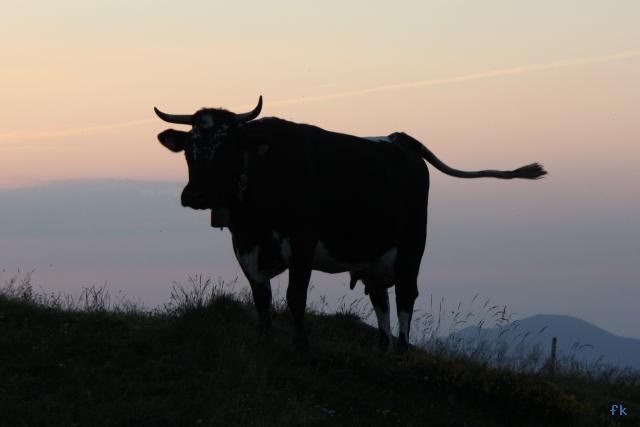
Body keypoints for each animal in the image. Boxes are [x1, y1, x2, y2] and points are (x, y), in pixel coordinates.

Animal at [154, 96, 546, 352]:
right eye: (189, 148)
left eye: (230, 147)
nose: (196, 195)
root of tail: (400, 139)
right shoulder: (244, 245)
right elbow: (261, 298)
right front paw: (265, 341)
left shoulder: (303, 242)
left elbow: (295, 297)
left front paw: (301, 345)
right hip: (375, 258)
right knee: (381, 299)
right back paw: (382, 351)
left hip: (411, 249)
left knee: (406, 296)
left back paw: (401, 353)